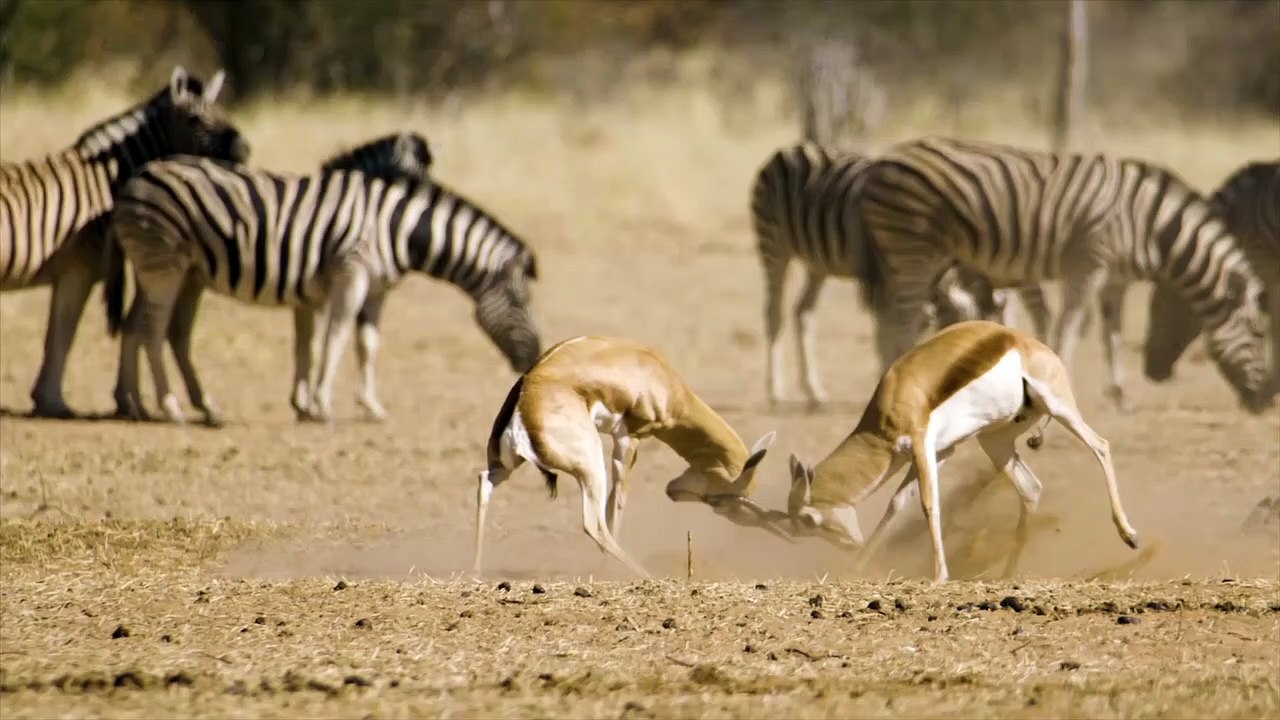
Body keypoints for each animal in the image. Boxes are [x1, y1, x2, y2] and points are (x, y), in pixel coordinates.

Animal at [473, 335, 787, 579]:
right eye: (721, 501)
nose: (672, 491)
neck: (658, 375)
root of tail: (525, 399)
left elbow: (614, 502)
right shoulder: (628, 439)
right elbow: (619, 502)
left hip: (508, 465)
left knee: (484, 482)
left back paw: (475, 571)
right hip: (591, 466)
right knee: (594, 524)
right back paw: (644, 575)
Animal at [784, 319, 1141, 583]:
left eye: (807, 520)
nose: (849, 546)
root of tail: (1021, 339)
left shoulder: (921, 445)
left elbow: (929, 505)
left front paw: (940, 575)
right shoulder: (941, 452)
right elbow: (897, 503)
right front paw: (856, 567)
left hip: (1059, 407)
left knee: (1101, 447)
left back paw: (1129, 534)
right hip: (994, 441)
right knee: (1031, 488)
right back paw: (1006, 574)